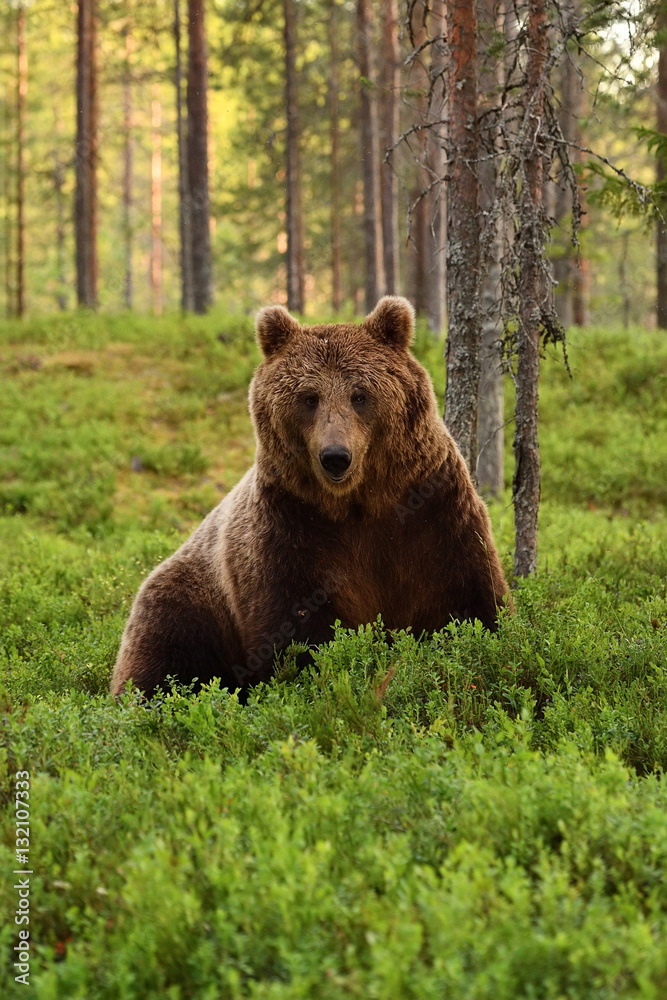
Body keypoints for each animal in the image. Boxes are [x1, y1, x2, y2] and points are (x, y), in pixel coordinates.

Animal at [111, 296, 510, 698]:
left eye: (360, 395)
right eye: (309, 398)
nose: (335, 456)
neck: (358, 503)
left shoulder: (433, 510)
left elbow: (470, 598)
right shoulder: (289, 526)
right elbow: (297, 628)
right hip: (190, 603)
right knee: (160, 658)